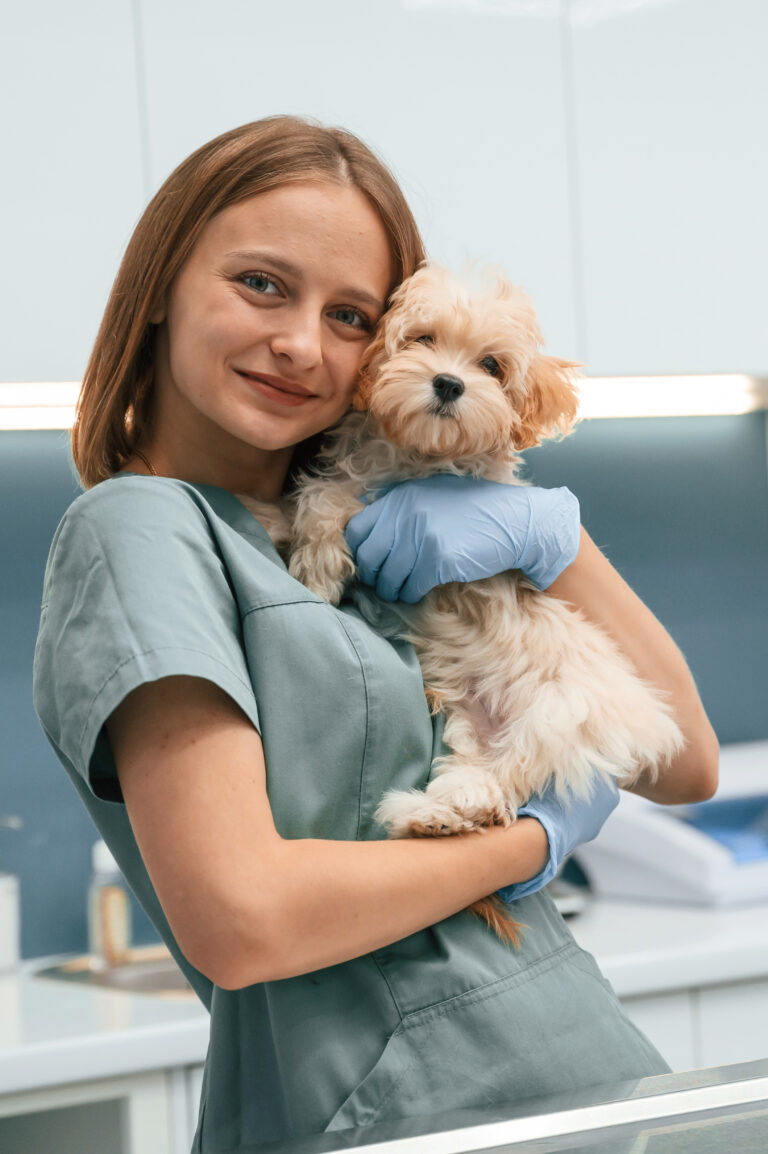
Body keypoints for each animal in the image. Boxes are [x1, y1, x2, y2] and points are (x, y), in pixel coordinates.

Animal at [236, 264, 678, 946]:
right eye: (422, 339)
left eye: (492, 366)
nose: (448, 382)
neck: (417, 454)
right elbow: (319, 494)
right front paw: (267, 516)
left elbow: (339, 501)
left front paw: (317, 559)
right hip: (468, 725)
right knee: (480, 785)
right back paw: (435, 817)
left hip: (555, 714)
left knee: (509, 784)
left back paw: (425, 813)